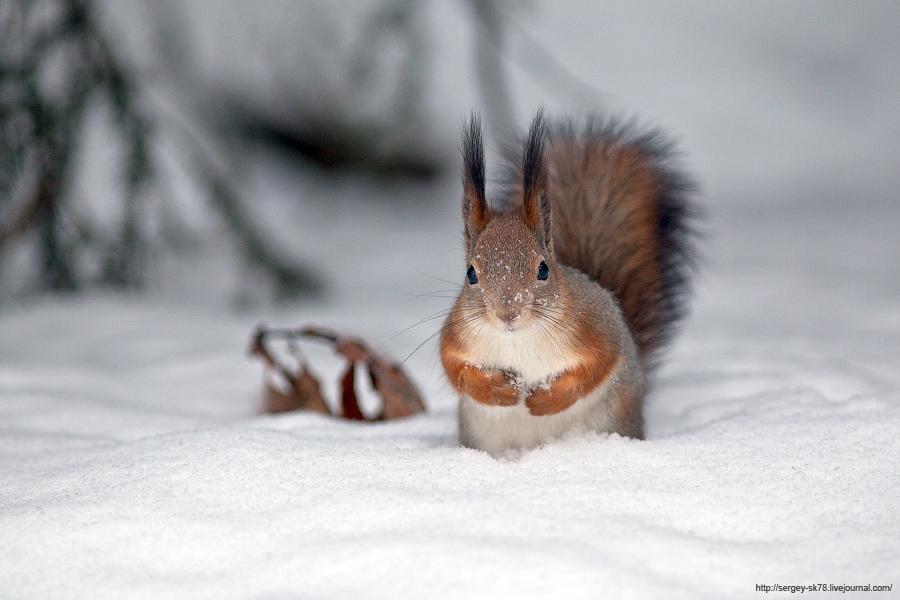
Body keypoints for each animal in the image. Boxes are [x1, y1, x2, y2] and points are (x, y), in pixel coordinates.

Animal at [440, 110, 700, 454]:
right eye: (471, 274)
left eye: (543, 269)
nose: (508, 314)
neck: (518, 337)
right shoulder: (457, 331)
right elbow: (454, 367)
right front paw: (498, 391)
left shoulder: (594, 324)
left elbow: (600, 362)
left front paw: (546, 399)